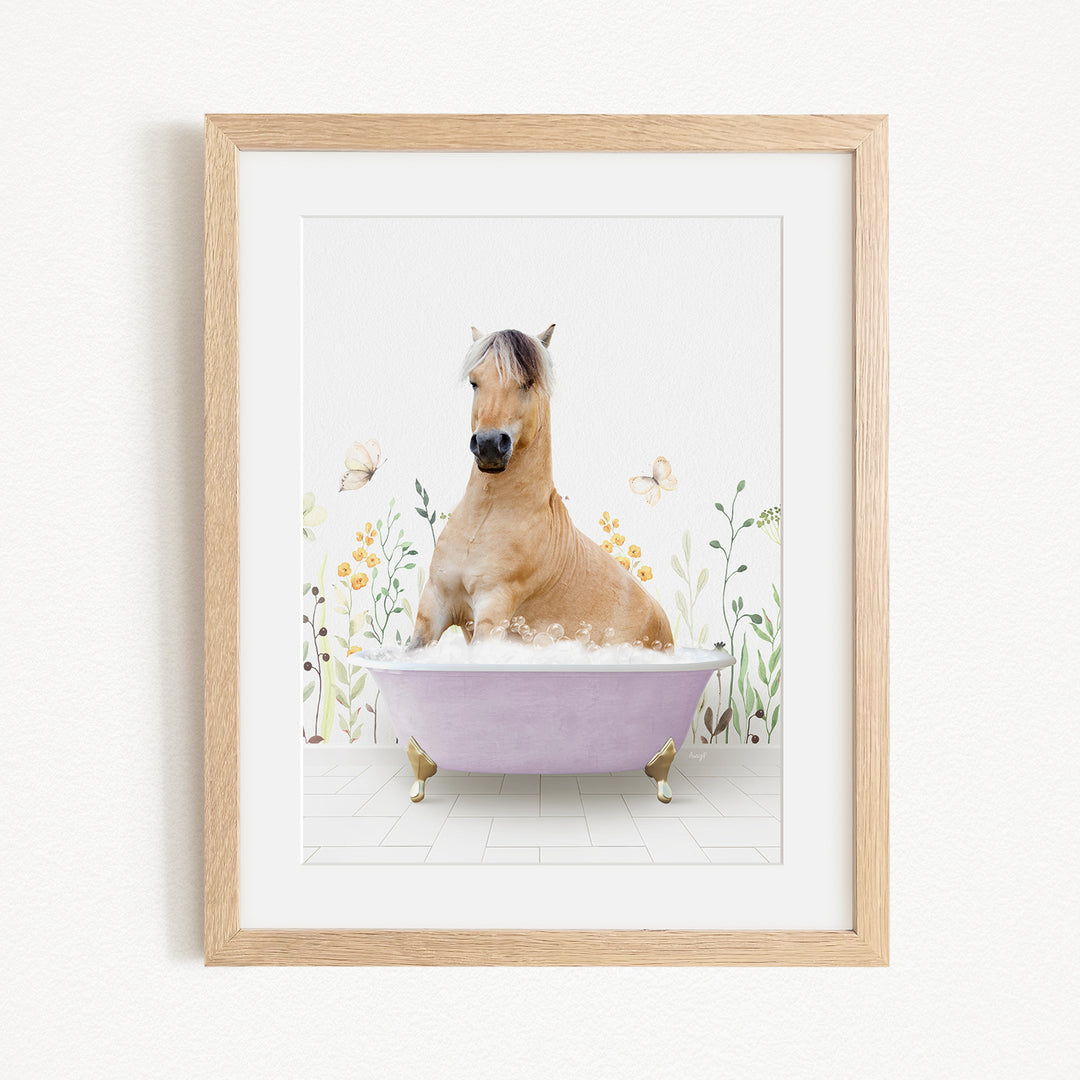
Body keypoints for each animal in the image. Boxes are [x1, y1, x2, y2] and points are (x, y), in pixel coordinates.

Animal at [410, 325, 674, 649]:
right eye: (474, 382)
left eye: (527, 382)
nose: (488, 445)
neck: (483, 521)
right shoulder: (434, 605)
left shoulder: (493, 610)